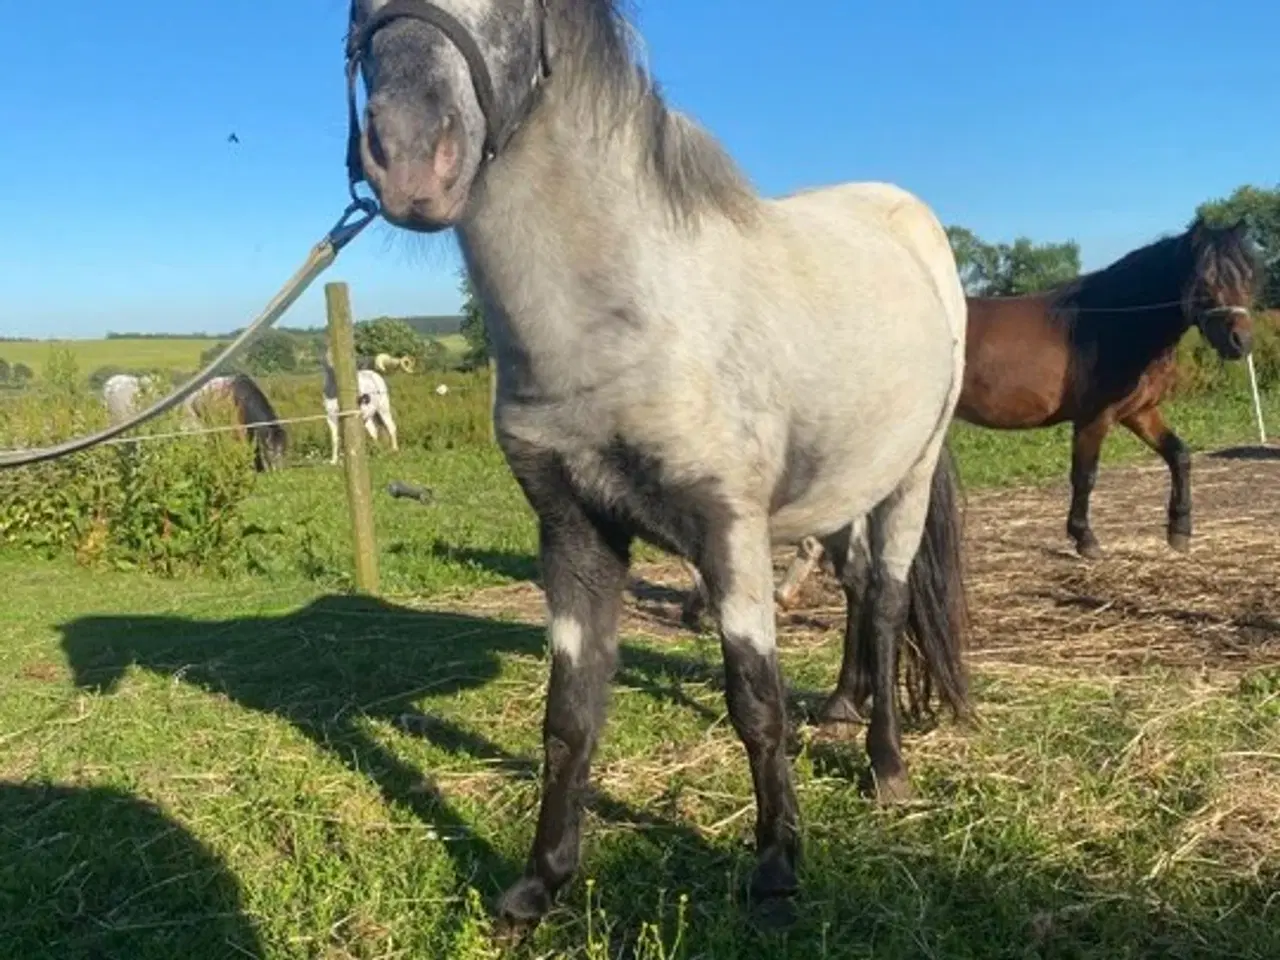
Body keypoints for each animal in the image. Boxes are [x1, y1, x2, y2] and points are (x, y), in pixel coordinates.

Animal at [345, 0, 962, 931]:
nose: (413, 157)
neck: (624, 316)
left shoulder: (729, 531)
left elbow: (756, 704)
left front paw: (776, 870)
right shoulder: (573, 535)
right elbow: (568, 716)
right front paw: (539, 884)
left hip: (910, 474)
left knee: (887, 602)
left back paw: (886, 765)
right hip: (841, 482)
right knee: (855, 582)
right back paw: (841, 708)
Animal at [686, 217, 1264, 624]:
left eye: (1247, 275)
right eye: (1205, 279)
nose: (1240, 342)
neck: (1109, 324)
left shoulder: (1138, 413)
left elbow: (1180, 455)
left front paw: (1179, 530)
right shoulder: (1094, 419)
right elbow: (1086, 478)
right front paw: (1085, 540)